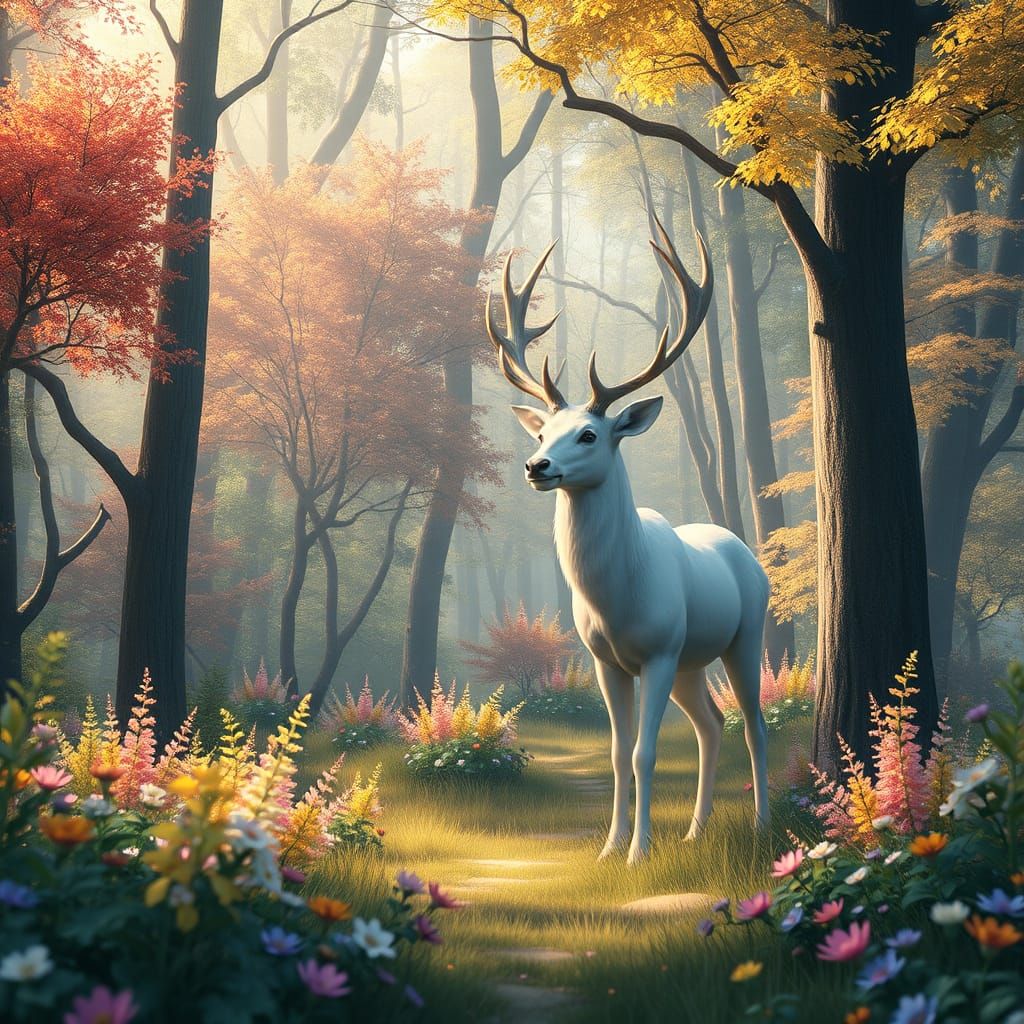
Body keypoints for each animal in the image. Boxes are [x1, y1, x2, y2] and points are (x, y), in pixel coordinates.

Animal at [485, 220, 770, 865]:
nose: (536, 466)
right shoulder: (605, 659)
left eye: (590, 434)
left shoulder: (659, 652)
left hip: (744, 636)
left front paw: (639, 851)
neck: (615, 599)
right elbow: (618, 753)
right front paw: (610, 848)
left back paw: (764, 823)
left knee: (754, 723)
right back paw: (695, 830)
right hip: (692, 660)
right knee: (712, 722)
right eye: (541, 431)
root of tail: (740, 546)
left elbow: (644, 751)